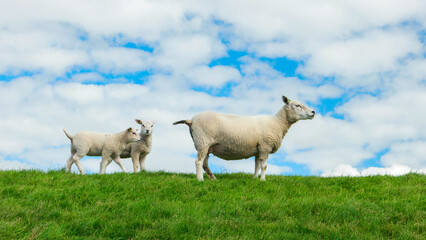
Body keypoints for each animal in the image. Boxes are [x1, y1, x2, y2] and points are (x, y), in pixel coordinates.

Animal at [171, 95, 314, 180]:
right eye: (297, 105)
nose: (313, 112)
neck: (277, 123)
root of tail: (192, 120)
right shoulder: (265, 146)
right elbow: (264, 166)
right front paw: (263, 180)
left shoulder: (258, 149)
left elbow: (257, 166)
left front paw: (255, 179)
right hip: (203, 141)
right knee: (198, 162)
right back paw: (200, 179)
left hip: (206, 145)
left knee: (205, 163)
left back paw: (213, 178)